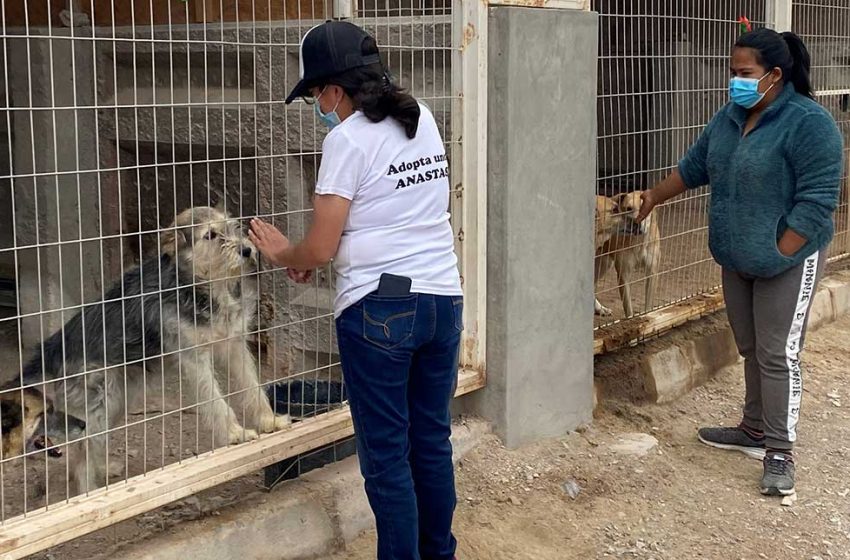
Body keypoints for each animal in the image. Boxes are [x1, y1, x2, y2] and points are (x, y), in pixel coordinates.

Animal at [20, 207, 292, 494]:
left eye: (233, 227)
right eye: (210, 235)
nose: (247, 250)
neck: (200, 284)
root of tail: (52, 347)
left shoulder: (234, 346)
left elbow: (253, 389)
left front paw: (269, 421)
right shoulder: (194, 358)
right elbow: (215, 401)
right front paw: (234, 433)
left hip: (116, 401)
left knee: (84, 446)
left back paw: (103, 470)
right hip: (100, 401)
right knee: (83, 451)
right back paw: (90, 491)